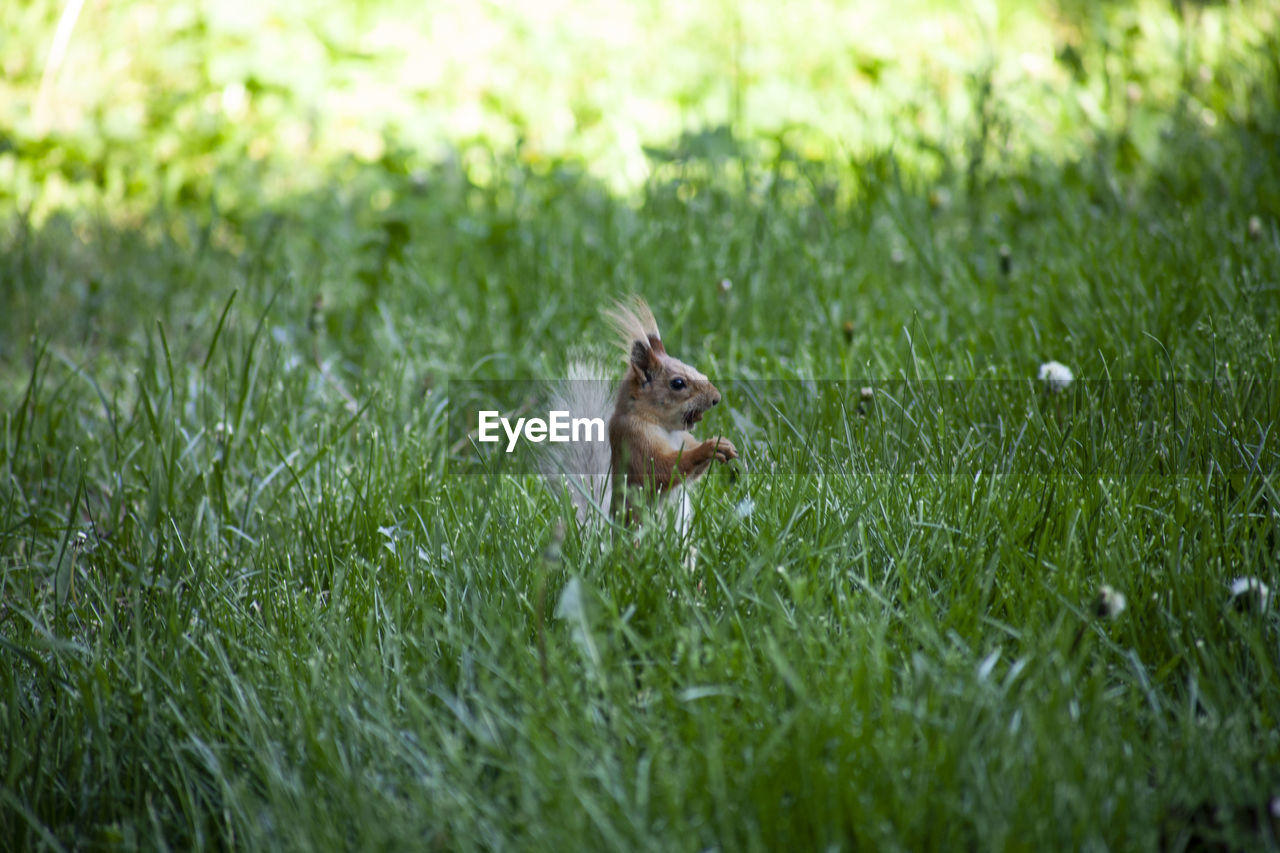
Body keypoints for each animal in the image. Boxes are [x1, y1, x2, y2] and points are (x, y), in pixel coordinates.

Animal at [542, 295, 742, 527]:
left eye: (696, 370)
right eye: (678, 383)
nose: (716, 398)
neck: (665, 428)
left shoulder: (684, 438)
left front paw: (724, 444)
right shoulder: (635, 440)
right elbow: (660, 471)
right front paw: (708, 447)